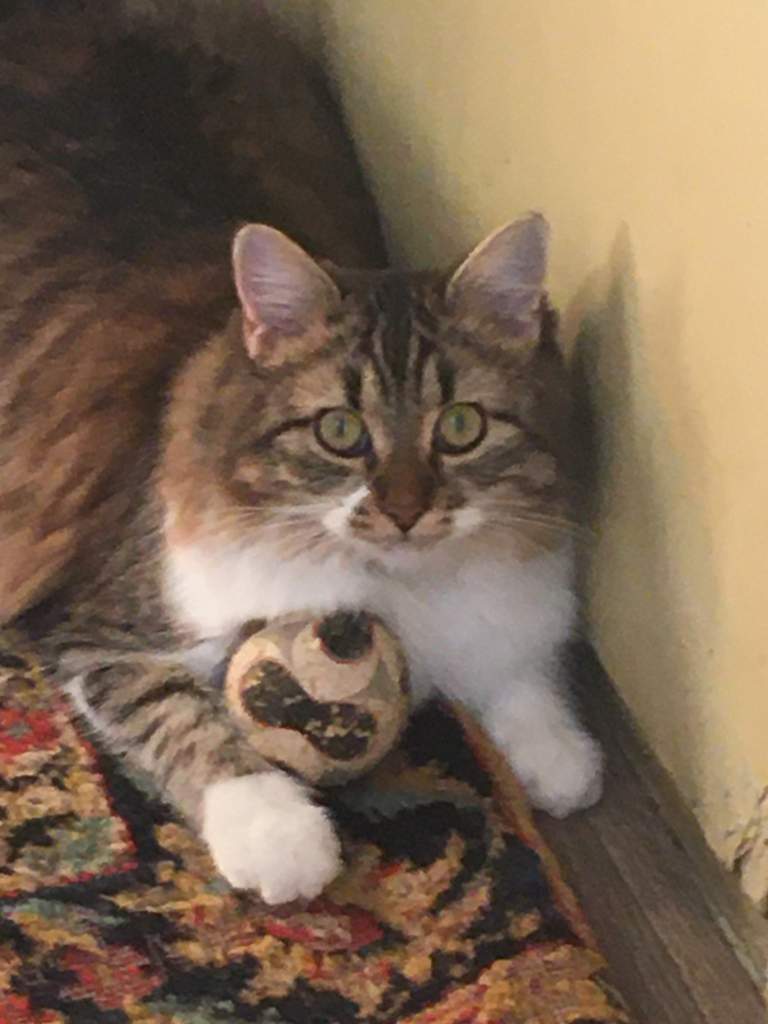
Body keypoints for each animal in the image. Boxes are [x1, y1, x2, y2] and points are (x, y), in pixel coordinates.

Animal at [1, 2, 603, 905]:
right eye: (340, 432)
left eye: (460, 427)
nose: (404, 510)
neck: (401, 590)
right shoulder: (99, 627)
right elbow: (187, 720)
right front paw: (282, 840)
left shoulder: (505, 612)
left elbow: (520, 674)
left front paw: (559, 758)